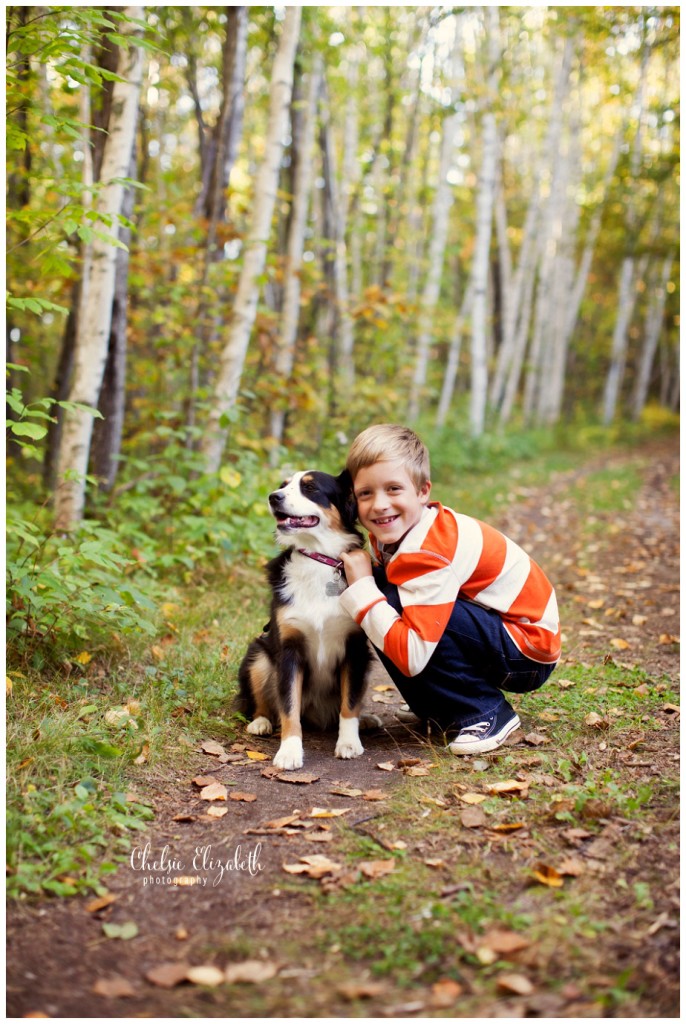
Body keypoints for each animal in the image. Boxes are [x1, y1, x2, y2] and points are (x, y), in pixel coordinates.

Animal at [236, 468, 376, 770]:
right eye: (283, 485)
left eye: (310, 488)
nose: (273, 497)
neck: (317, 559)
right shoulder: (289, 650)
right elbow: (289, 706)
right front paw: (289, 751)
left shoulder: (355, 649)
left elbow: (350, 702)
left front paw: (349, 742)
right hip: (259, 653)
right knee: (263, 703)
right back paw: (261, 722)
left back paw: (366, 720)